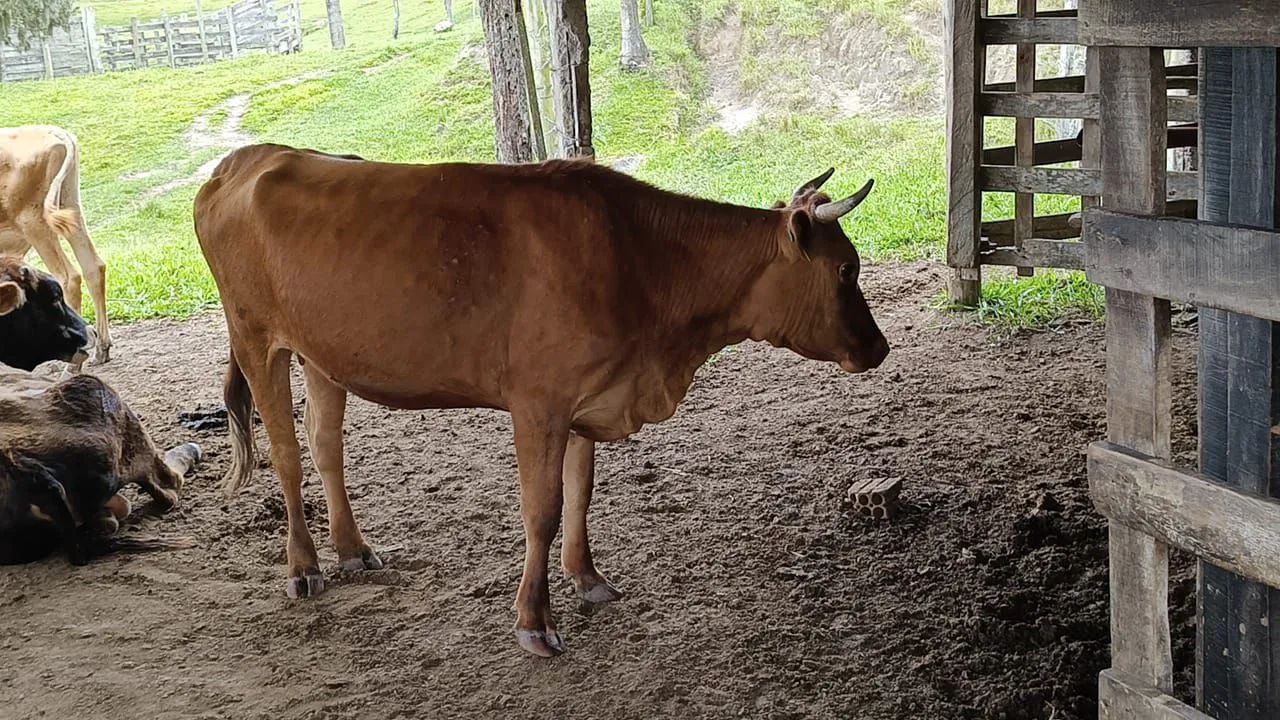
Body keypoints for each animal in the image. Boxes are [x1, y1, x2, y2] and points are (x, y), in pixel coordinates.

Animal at [0, 125, 112, 366]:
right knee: (93, 267)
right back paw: (101, 349)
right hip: (71, 207)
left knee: (69, 277)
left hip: (35, 222)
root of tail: (56, 132)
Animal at [193, 144, 890, 657]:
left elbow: (581, 496)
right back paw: (304, 566)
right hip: (256, 339)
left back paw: (352, 550)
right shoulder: (538, 404)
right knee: (286, 455)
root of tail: (244, 158)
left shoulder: (590, 398)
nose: (879, 348)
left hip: (323, 354)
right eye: (845, 270)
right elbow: (543, 510)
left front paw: (589, 579)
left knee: (325, 446)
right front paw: (535, 620)